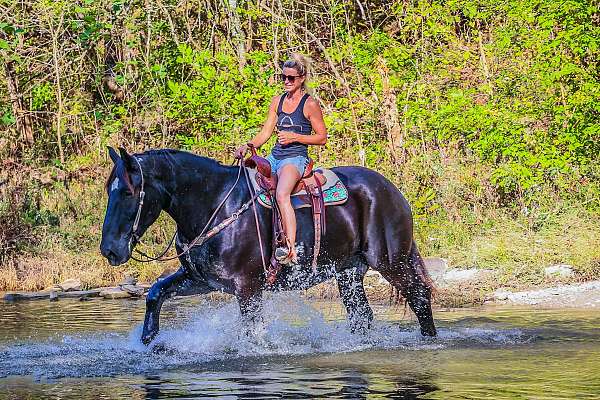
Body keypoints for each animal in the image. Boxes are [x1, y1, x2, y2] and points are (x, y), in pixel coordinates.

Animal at [99, 147, 436, 344]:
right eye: (109, 191)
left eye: (128, 192)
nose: (110, 250)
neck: (214, 204)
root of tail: (391, 189)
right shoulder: (202, 280)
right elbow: (155, 293)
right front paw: (149, 340)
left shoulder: (248, 288)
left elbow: (251, 332)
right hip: (349, 272)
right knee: (361, 316)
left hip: (392, 261)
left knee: (419, 297)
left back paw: (430, 340)